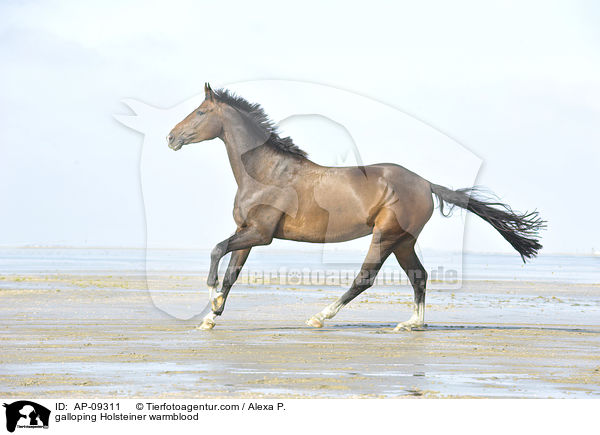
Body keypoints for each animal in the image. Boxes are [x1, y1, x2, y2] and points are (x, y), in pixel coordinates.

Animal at [165, 83, 544, 332]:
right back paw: (411, 323)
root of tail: (425, 183)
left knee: (366, 277)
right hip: (403, 240)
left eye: (200, 112)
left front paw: (211, 298)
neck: (266, 172)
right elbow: (232, 270)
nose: (170, 137)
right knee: (419, 276)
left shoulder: (260, 233)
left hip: (385, 235)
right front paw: (210, 317)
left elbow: (217, 252)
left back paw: (320, 317)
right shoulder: (247, 231)